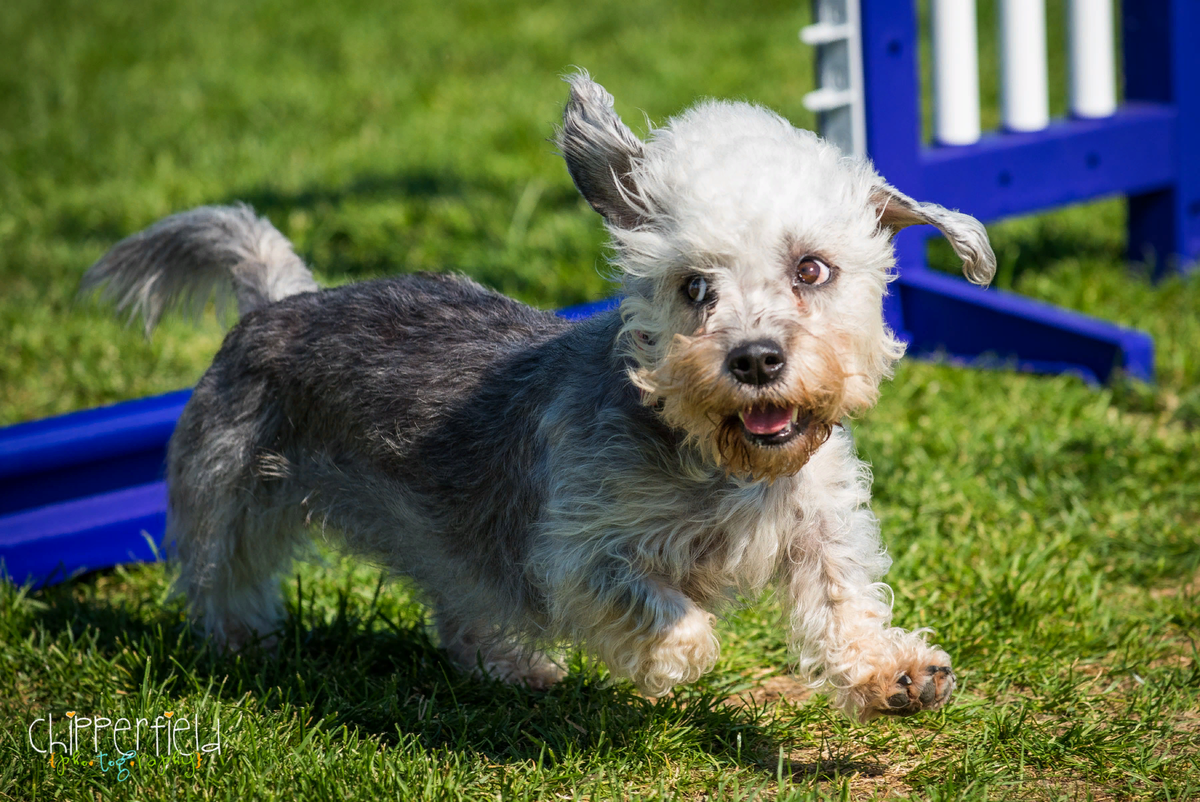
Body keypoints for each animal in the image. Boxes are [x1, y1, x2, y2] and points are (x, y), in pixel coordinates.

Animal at [84, 70, 993, 720]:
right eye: (694, 286)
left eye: (811, 268)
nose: (757, 359)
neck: (720, 463)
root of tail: (277, 302)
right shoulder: (577, 551)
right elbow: (658, 608)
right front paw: (676, 657)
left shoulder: (818, 527)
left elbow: (843, 603)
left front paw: (894, 672)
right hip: (230, 495)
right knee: (221, 582)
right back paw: (240, 650)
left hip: (439, 538)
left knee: (458, 608)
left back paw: (511, 666)